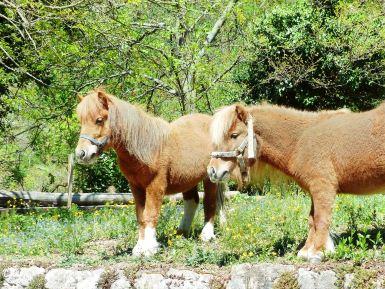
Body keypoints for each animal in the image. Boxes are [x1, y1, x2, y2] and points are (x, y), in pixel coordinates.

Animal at [75, 88, 225, 256]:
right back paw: (181, 233)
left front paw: (149, 248)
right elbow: (141, 215)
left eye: (99, 120)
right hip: (188, 180)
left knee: (209, 202)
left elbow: (151, 213)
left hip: (209, 178)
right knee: (192, 201)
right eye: (81, 121)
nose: (81, 154)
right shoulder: (136, 187)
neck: (147, 147)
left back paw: (207, 235)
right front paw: (139, 247)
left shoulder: (155, 185)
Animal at [206, 102, 385, 262]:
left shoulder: (323, 188)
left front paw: (318, 252)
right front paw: (307, 250)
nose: (212, 171)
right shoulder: (314, 190)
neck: (301, 140)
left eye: (234, 135)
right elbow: (312, 220)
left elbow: (321, 219)